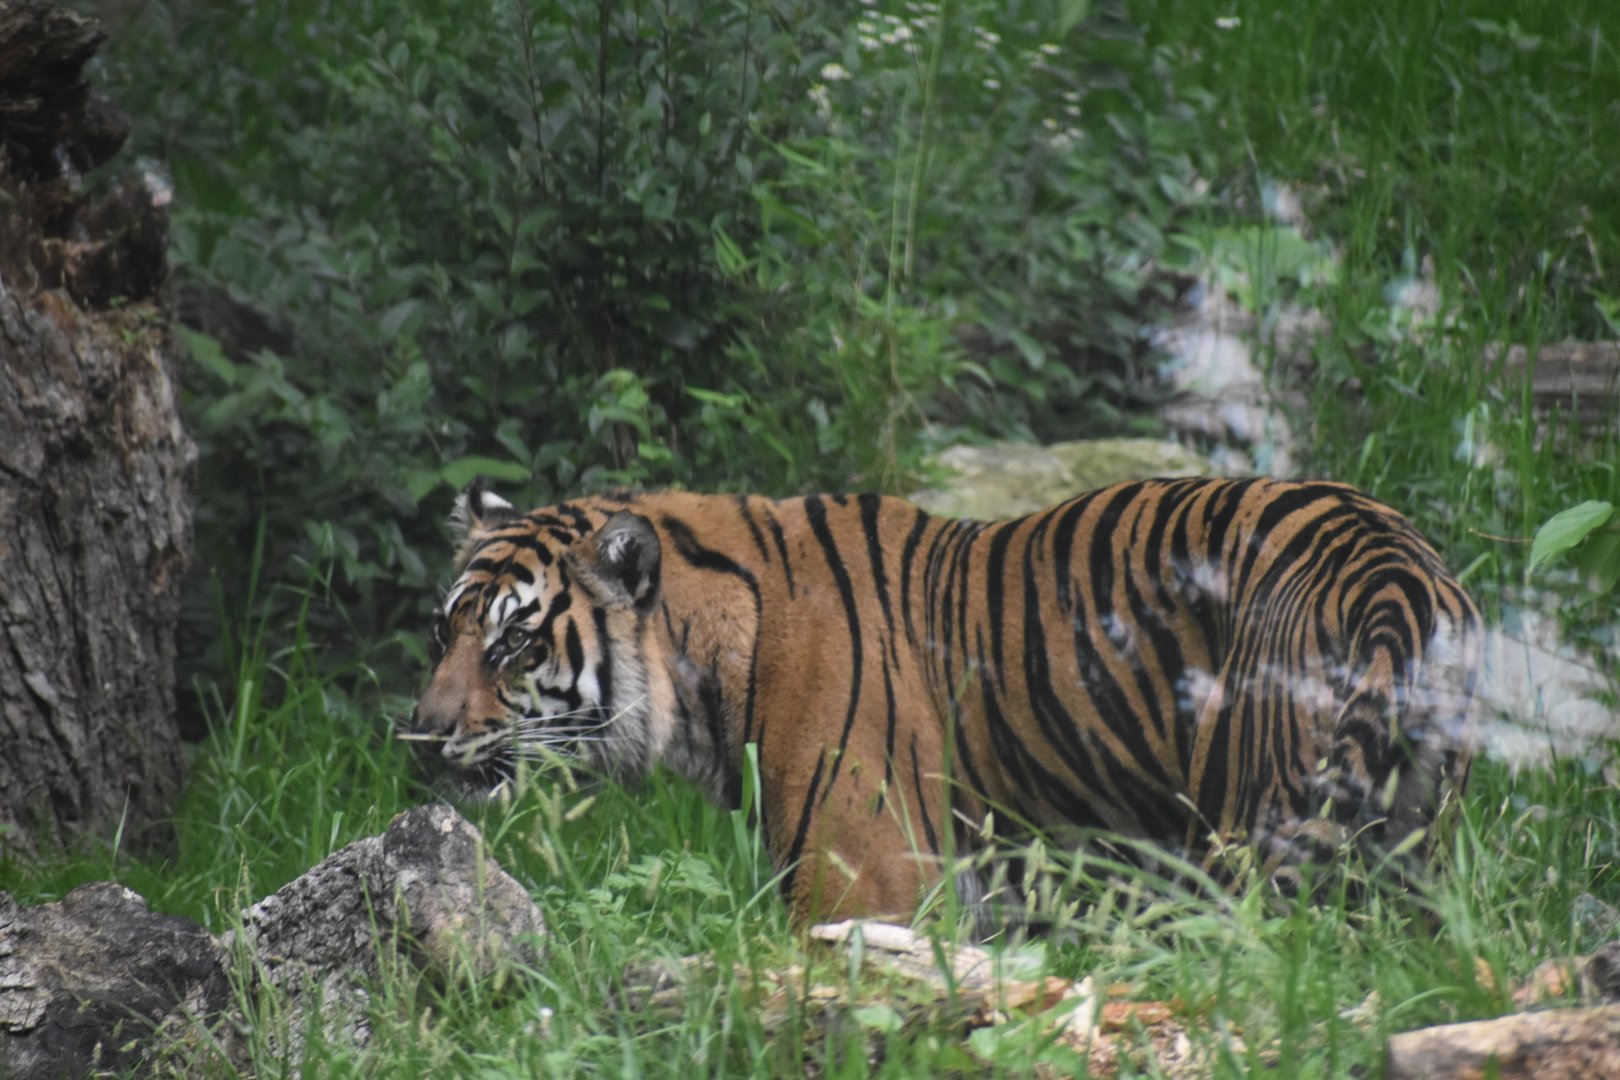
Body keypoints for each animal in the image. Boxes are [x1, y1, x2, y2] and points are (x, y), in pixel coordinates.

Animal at [407, 477, 1481, 926]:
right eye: (442, 631)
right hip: (1412, 856)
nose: (418, 738)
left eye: (514, 642)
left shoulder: (862, 885)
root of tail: (1392, 564)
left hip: (1250, 835)